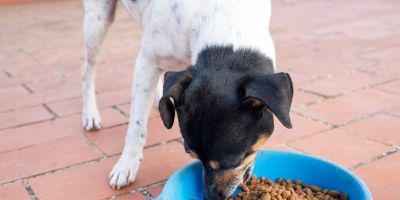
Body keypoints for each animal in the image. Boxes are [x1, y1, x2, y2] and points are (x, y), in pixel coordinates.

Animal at [81, 0, 294, 199]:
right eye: (192, 155)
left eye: (233, 162)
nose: (209, 197)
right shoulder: (147, 61)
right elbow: (136, 125)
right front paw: (126, 165)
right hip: (97, 21)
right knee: (88, 68)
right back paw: (90, 114)